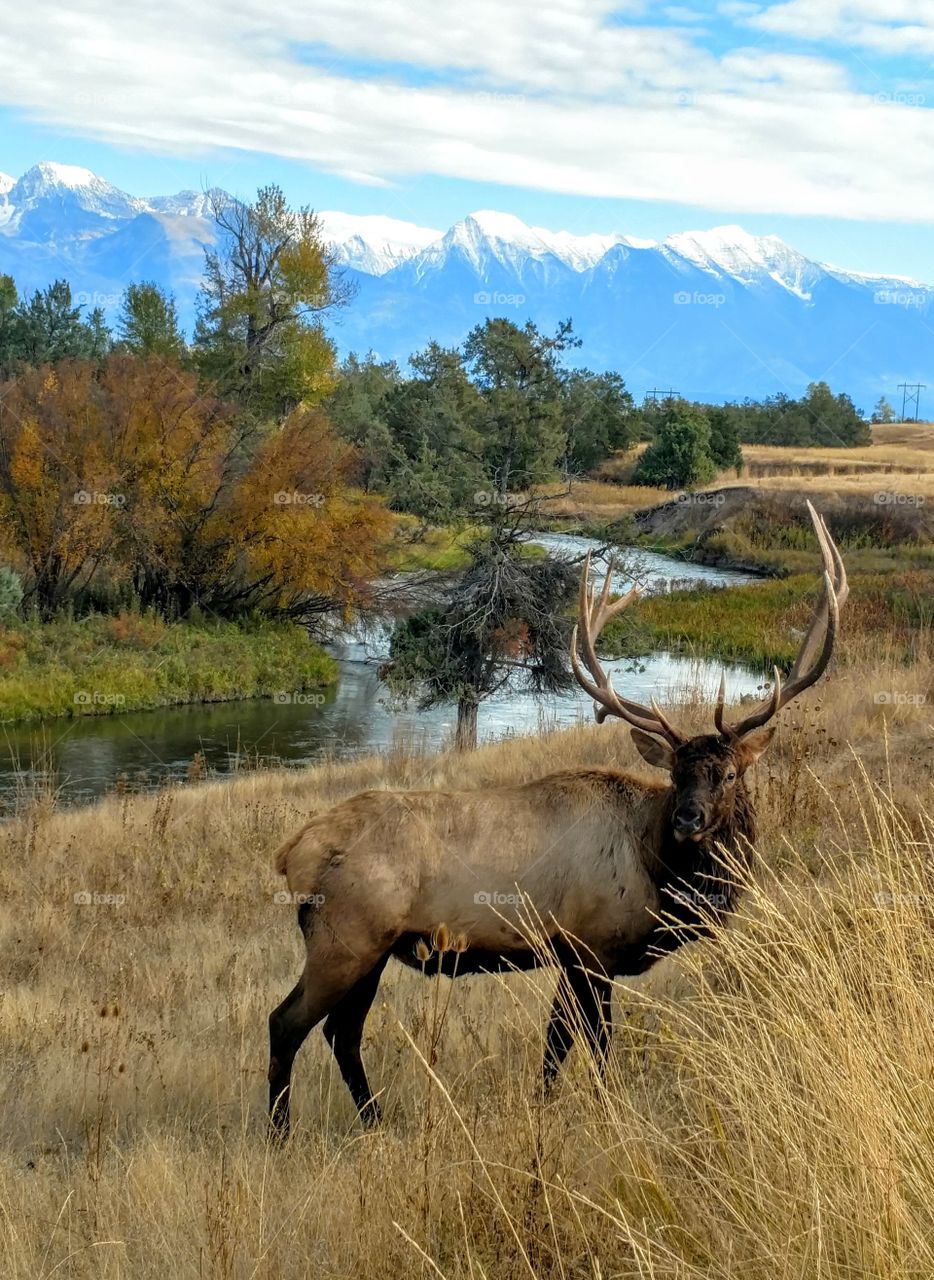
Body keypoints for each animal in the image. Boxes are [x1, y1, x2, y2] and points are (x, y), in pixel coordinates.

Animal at [268, 501, 847, 1135]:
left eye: (730, 774)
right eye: (677, 775)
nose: (689, 819)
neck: (658, 875)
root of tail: (292, 851)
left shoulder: (572, 958)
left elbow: (555, 1046)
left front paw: (545, 1108)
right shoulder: (592, 947)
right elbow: (592, 1044)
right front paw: (605, 1110)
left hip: (371, 948)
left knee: (341, 1032)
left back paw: (374, 1121)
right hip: (344, 936)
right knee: (288, 1023)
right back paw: (281, 1133)